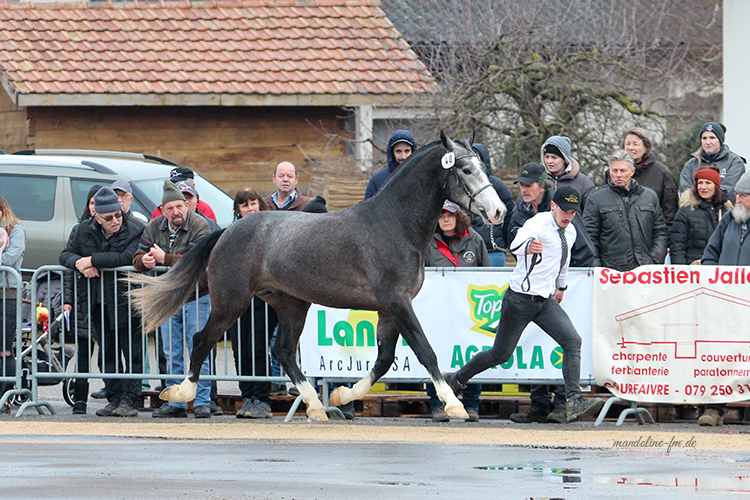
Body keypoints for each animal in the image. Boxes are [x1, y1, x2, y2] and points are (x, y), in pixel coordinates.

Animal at [130, 131, 506, 421]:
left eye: (482, 166)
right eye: (465, 169)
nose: (498, 211)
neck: (395, 225)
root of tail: (228, 229)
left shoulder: (389, 309)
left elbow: (384, 360)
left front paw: (342, 396)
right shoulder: (397, 303)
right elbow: (425, 351)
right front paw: (454, 404)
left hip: (292, 305)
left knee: (281, 351)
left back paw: (315, 406)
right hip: (231, 301)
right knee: (202, 339)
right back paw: (179, 392)